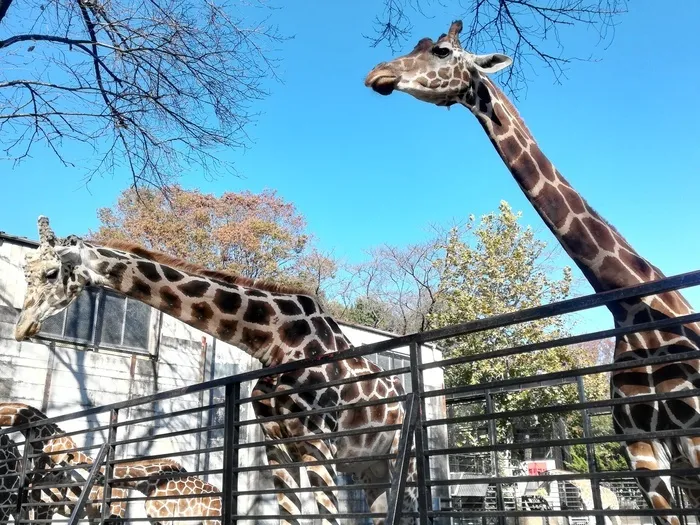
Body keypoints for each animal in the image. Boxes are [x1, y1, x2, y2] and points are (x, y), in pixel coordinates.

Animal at [13, 215, 418, 520]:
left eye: (51, 273)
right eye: (25, 271)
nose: (21, 327)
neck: (276, 339)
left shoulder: (319, 442)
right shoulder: (276, 444)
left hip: (404, 459)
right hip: (369, 469)